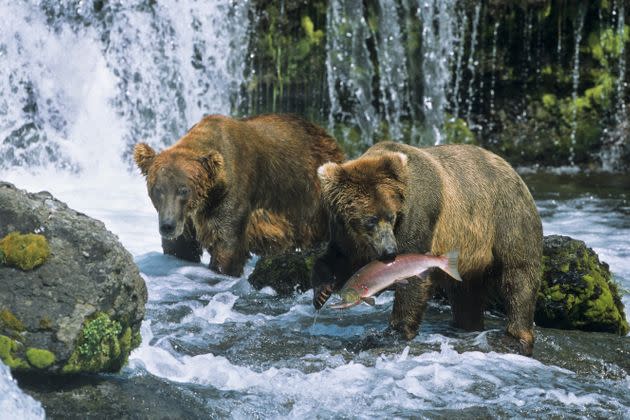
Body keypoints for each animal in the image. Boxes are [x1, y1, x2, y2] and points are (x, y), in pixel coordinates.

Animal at [133, 113, 346, 278]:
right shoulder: (186, 218)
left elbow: (227, 244)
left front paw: (222, 268)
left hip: (309, 197)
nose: (167, 226)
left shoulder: (230, 196)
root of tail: (328, 136)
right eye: (157, 190)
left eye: (183, 190)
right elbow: (180, 247)